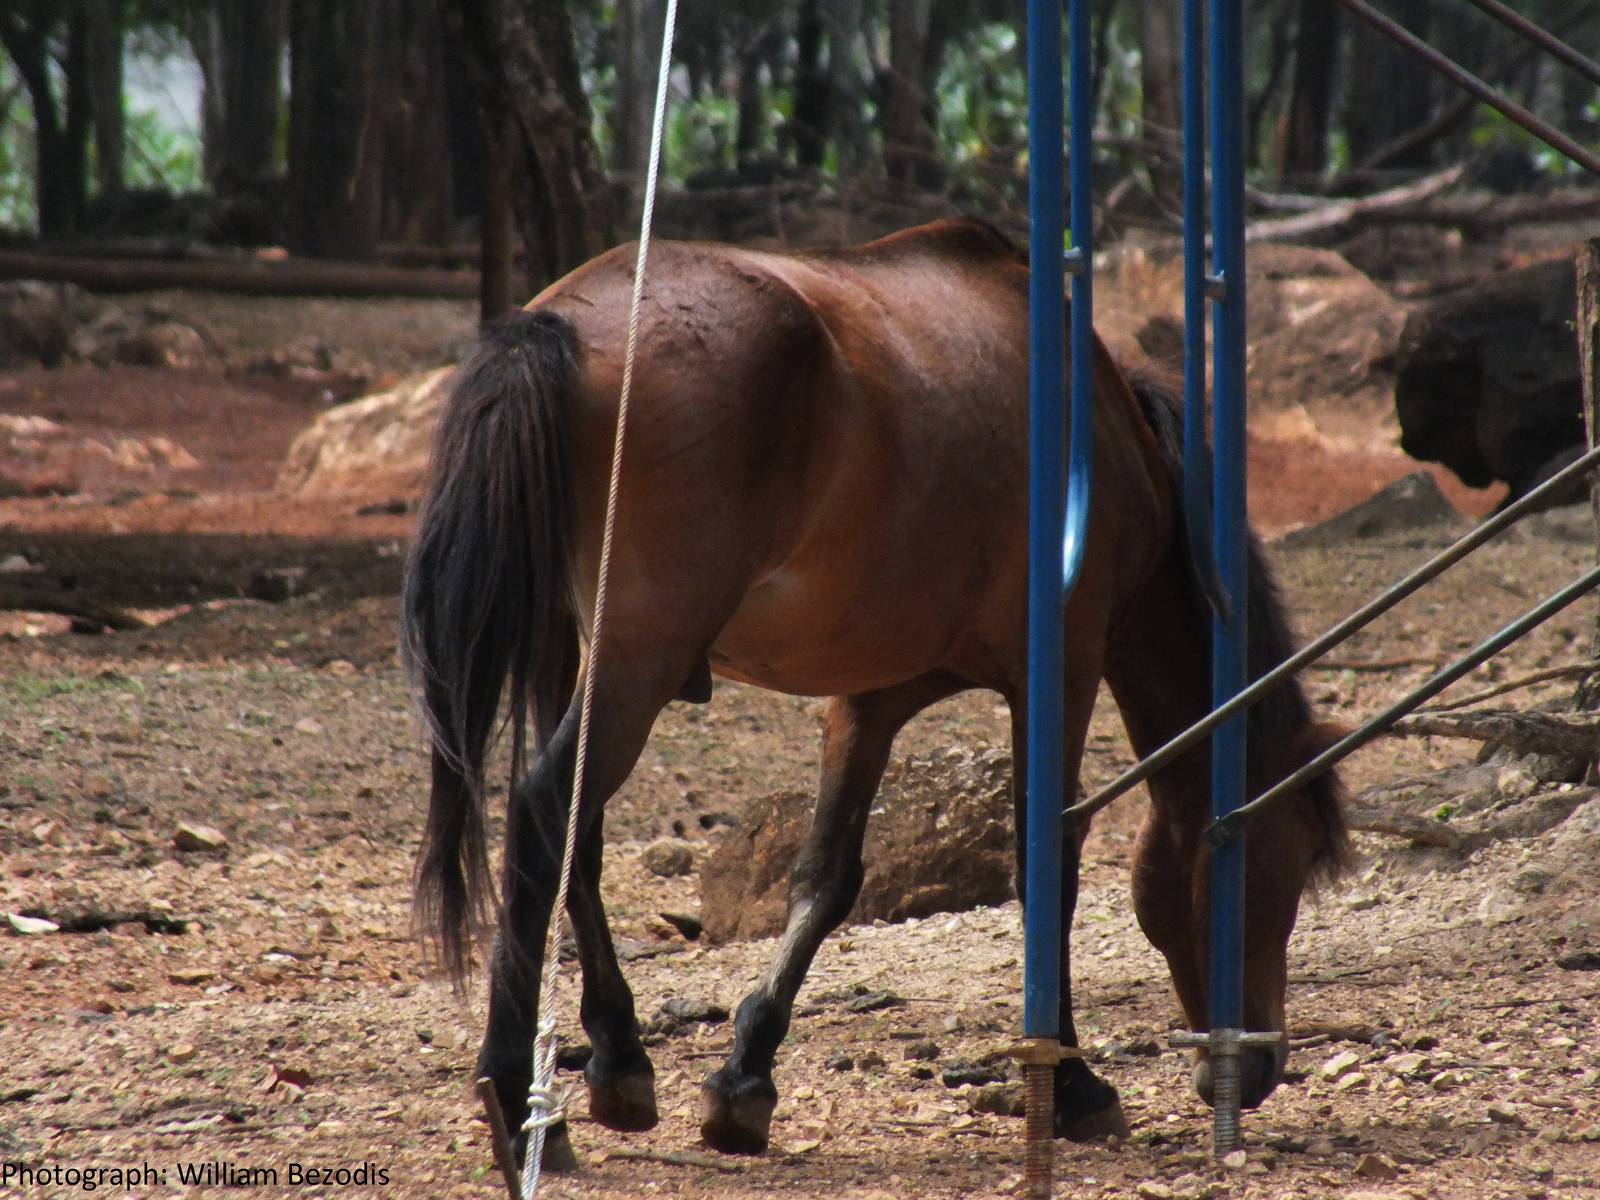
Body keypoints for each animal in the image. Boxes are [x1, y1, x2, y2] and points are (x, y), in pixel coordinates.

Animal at [399, 217, 1349, 1166]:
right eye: (1292, 858)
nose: (1260, 1067)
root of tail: (560, 324)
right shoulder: (1062, 673)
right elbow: (1049, 868)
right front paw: (1075, 1085)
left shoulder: (872, 699)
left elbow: (827, 876)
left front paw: (747, 1076)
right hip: (639, 662)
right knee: (543, 811)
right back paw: (519, 1096)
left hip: (577, 656)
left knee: (578, 842)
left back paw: (620, 1059)